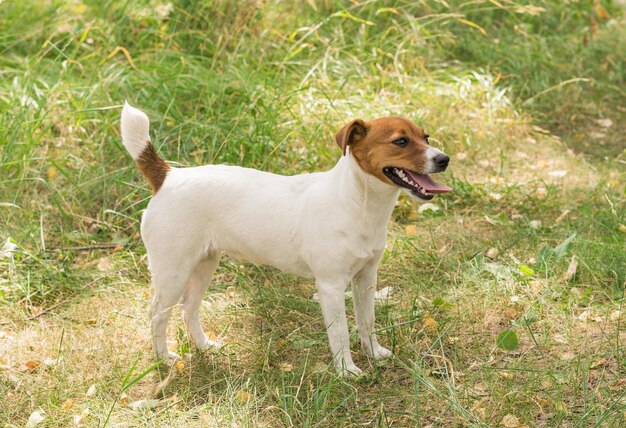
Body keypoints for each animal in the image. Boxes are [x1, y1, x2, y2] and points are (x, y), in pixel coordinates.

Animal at [119, 102, 448, 376]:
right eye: (400, 141)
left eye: (426, 137)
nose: (444, 159)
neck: (356, 203)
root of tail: (168, 177)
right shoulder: (330, 287)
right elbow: (340, 332)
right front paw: (346, 371)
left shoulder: (366, 278)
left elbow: (367, 322)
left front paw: (374, 354)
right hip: (173, 272)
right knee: (157, 316)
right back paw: (164, 359)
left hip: (204, 264)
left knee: (189, 307)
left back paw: (204, 346)